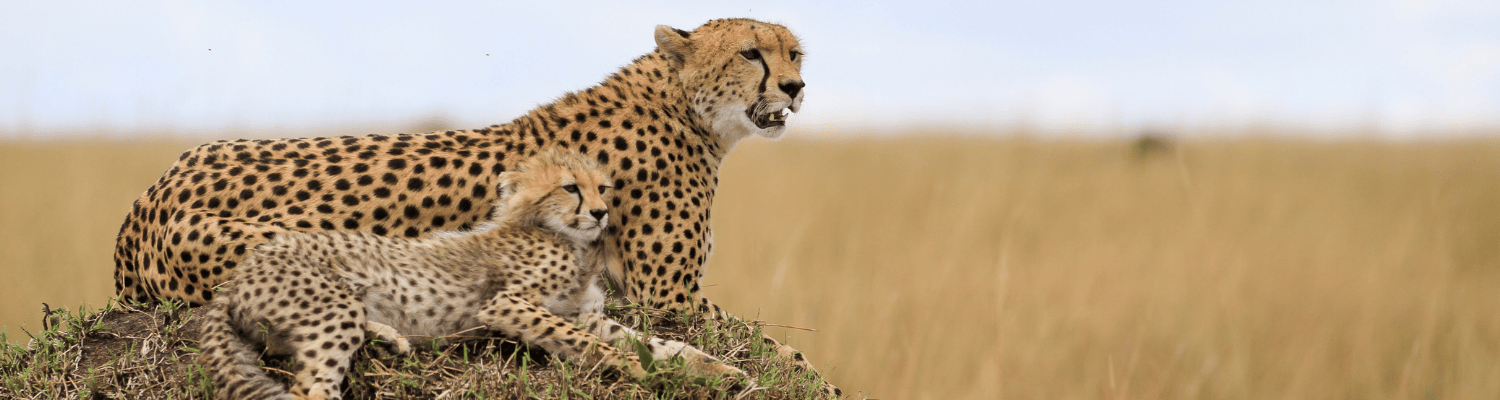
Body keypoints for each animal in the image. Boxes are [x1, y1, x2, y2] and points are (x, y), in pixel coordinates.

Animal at [198, 149, 743, 400]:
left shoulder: (588, 316)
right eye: (570, 188)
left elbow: (661, 343)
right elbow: (599, 347)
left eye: (603, 186)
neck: (560, 235)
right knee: (308, 388)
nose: (601, 212)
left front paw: (719, 371)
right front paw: (645, 373)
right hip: (328, 309)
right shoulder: (507, 304)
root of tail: (236, 279)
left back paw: (389, 337)